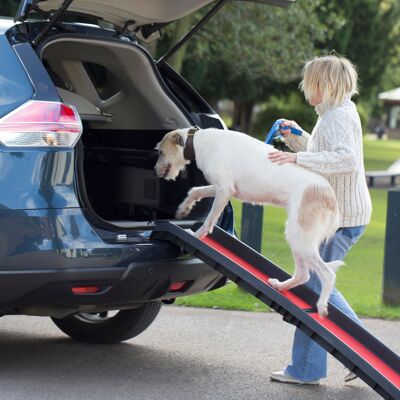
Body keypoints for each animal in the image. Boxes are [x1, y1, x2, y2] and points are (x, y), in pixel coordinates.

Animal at [155, 127, 342, 316]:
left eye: (161, 152)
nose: (155, 171)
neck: (198, 141)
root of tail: (330, 196)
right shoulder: (221, 188)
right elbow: (195, 191)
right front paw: (184, 208)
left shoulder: (224, 190)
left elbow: (209, 220)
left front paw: (197, 235)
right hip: (297, 238)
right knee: (304, 274)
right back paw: (281, 287)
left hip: (300, 237)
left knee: (327, 274)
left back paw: (321, 306)